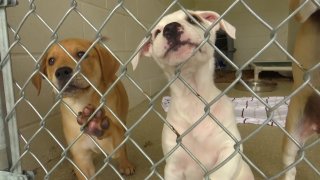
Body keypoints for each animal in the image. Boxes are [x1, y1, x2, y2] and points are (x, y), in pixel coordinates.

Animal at [33, 37, 136, 179]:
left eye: (81, 54)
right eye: (51, 61)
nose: (62, 72)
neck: (80, 104)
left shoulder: (113, 145)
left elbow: (114, 137)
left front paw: (97, 123)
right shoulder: (82, 159)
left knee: (123, 146)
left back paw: (125, 163)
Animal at [131, 10, 254, 180]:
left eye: (193, 19)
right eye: (156, 32)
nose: (170, 28)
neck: (192, 96)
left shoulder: (230, 150)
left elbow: (217, 174)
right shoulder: (173, 166)